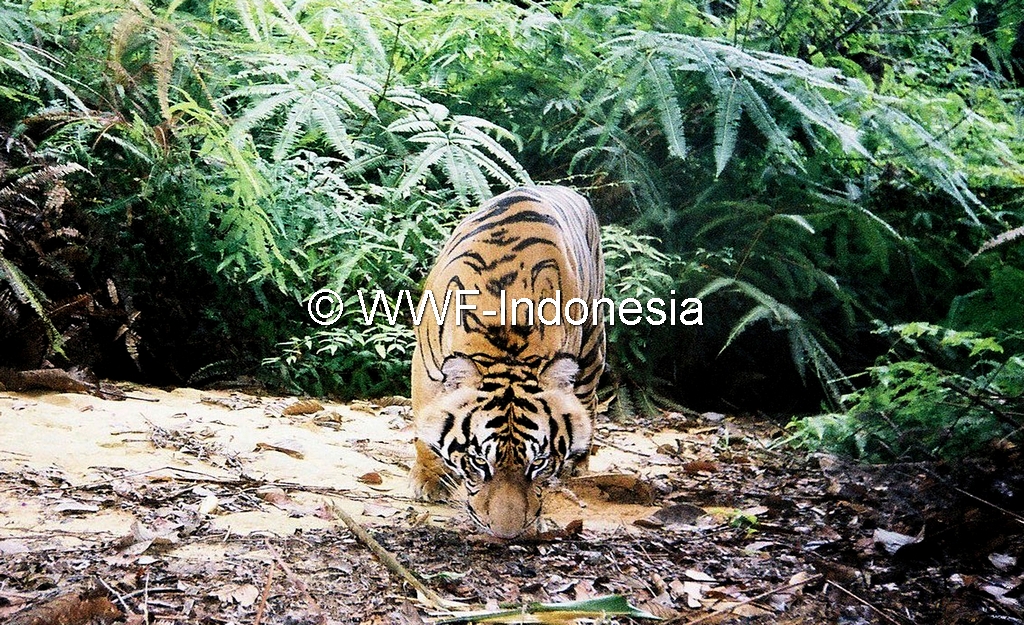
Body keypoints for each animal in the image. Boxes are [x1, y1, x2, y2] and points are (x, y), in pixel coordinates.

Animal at [410, 185, 606, 539]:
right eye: (478, 462)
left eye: (538, 463)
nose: (507, 534)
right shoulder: (426, 367)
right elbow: (424, 423)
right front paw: (431, 480)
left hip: (592, 344)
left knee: (590, 400)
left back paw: (578, 463)